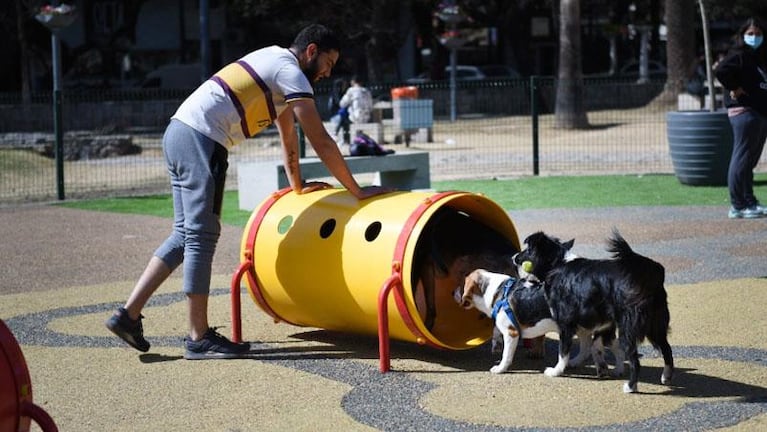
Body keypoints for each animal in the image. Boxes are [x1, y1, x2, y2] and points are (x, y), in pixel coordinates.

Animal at [516, 231, 672, 394]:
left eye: (527, 250)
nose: (514, 258)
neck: (557, 263)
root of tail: (650, 274)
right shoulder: (597, 322)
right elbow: (590, 345)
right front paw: (595, 364)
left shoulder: (566, 323)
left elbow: (564, 351)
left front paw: (556, 371)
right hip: (656, 326)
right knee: (667, 350)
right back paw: (666, 376)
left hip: (628, 329)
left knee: (635, 360)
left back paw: (630, 387)